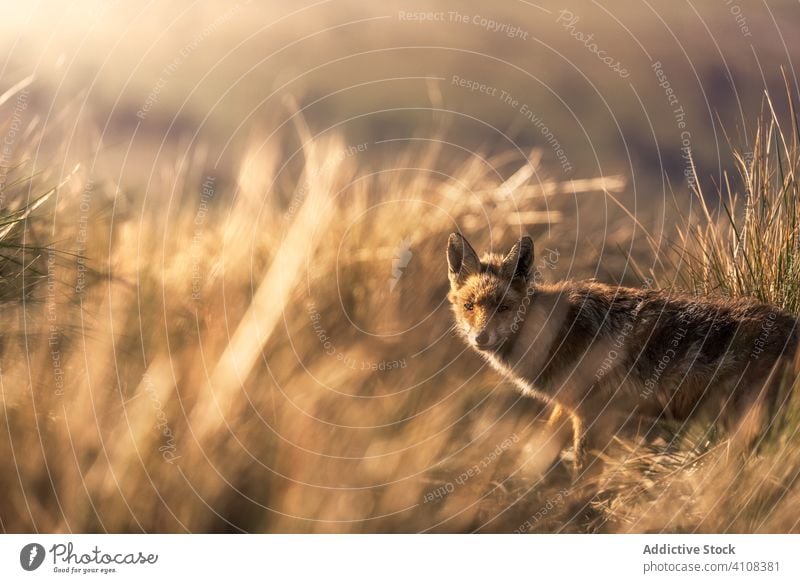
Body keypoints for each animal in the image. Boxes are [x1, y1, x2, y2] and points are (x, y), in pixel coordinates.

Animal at [446, 233, 796, 474]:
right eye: (469, 306)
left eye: (504, 308)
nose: (481, 338)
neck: (553, 332)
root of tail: (791, 320)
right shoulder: (569, 407)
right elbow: (544, 446)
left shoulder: (591, 411)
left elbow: (582, 471)